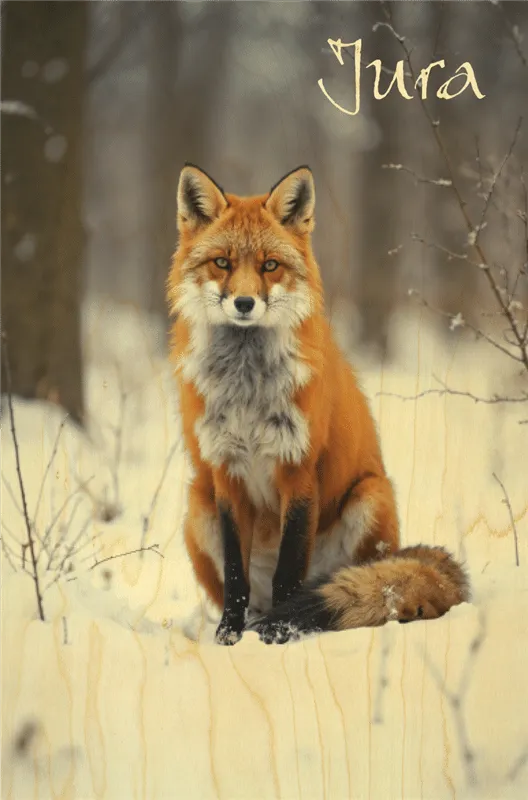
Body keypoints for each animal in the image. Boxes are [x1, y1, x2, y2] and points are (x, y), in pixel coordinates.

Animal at [167, 163, 470, 645]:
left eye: (270, 266)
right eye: (223, 263)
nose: (244, 303)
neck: (248, 387)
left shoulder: (300, 469)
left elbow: (289, 570)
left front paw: (282, 633)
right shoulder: (226, 474)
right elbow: (235, 575)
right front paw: (229, 637)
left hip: (371, 497)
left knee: (353, 584)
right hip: (198, 510)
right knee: (251, 591)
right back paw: (252, 621)